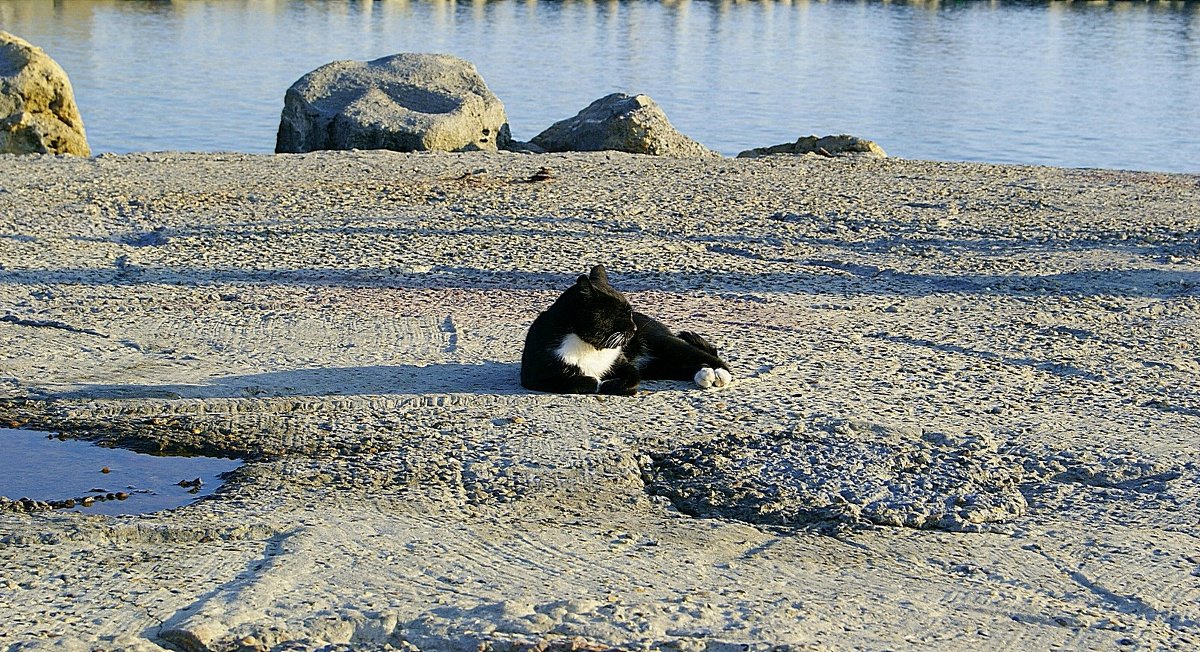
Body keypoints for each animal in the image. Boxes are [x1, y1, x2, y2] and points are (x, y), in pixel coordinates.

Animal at [523, 266, 734, 398]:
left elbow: (632, 378)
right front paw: (598, 382)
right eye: (620, 315)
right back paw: (704, 375)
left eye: (630, 314)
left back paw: (719, 373)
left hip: (664, 343)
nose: (634, 328)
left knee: (708, 356)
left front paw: (609, 384)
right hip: (657, 367)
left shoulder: (624, 364)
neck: (590, 346)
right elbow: (577, 382)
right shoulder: (535, 377)